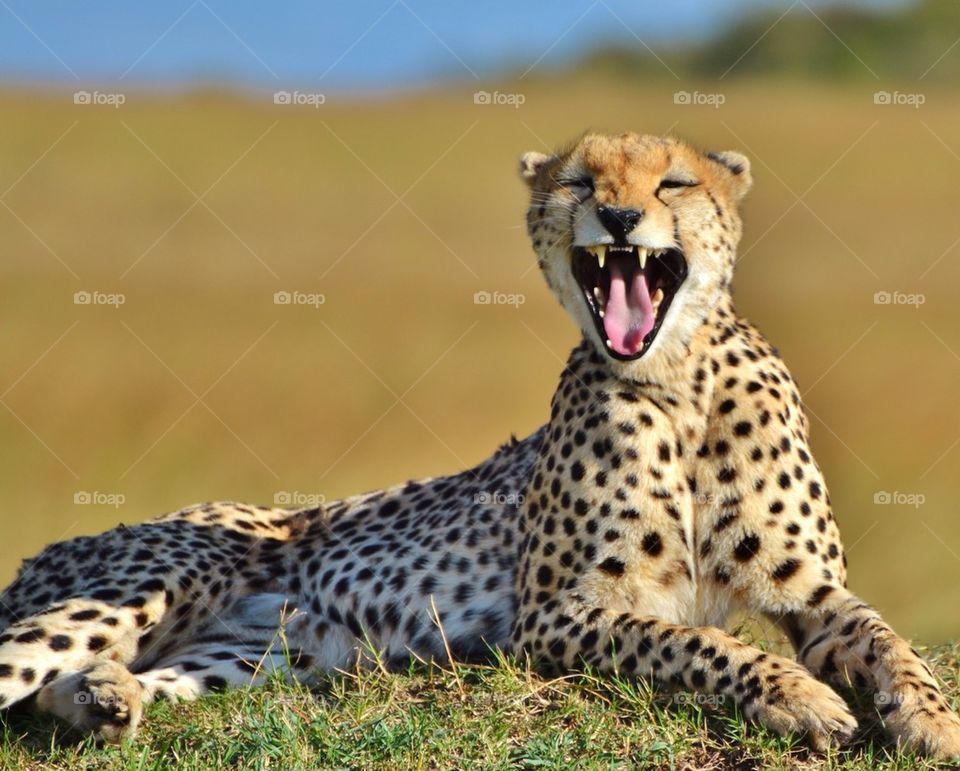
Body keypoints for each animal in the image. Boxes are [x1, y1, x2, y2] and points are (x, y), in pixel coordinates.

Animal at [0, 133, 952, 760]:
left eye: (675, 181)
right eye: (581, 180)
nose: (619, 214)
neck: (679, 381)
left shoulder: (811, 589)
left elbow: (887, 636)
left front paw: (930, 717)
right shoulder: (557, 613)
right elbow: (702, 643)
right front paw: (797, 693)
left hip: (268, 650)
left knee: (77, 685)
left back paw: (104, 695)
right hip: (155, 584)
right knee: (22, 662)